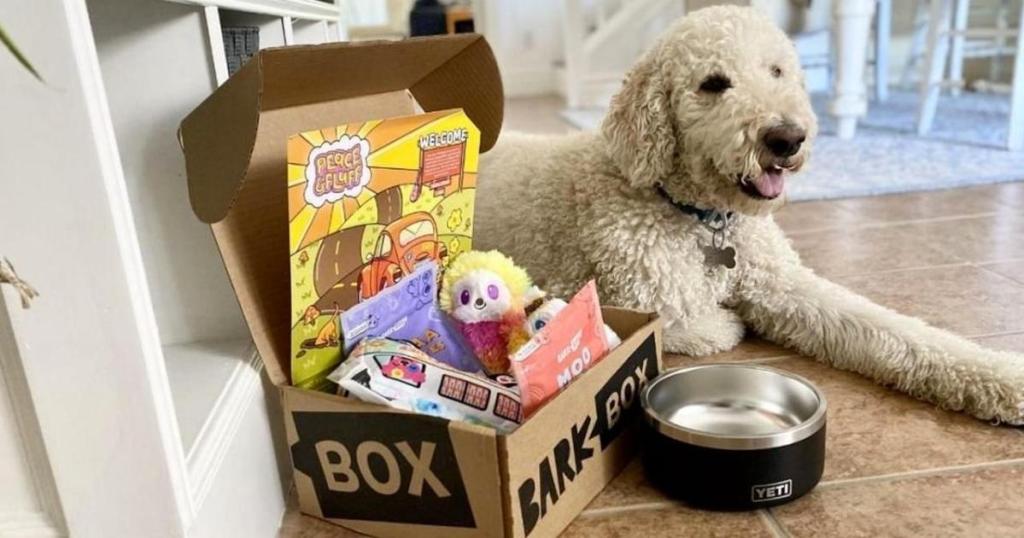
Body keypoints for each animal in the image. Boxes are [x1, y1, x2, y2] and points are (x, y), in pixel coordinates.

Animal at [479, 5, 1024, 424]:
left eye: (777, 71)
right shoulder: (648, 301)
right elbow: (710, 326)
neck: (703, 217)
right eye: (713, 83)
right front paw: (728, 322)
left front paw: (1001, 377)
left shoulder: (782, 285)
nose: (787, 137)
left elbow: (884, 329)